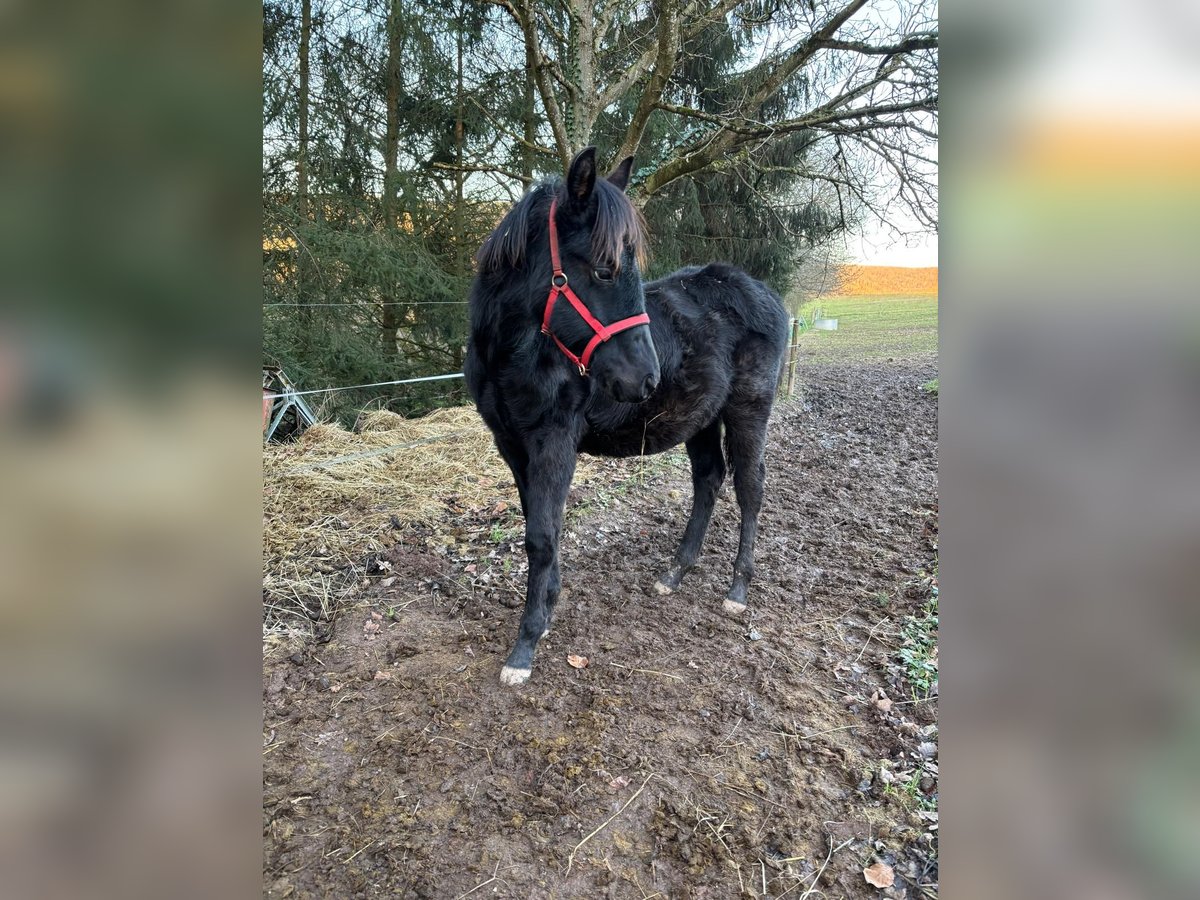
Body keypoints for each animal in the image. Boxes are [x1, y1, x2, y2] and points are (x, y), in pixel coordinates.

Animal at [463, 148, 792, 686]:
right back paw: (675, 574)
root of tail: (766, 295)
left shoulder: (554, 441)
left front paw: (525, 646)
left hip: (748, 410)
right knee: (709, 480)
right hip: (701, 418)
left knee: (750, 487)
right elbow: (540, 523)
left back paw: (737, 591)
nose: (646, 378)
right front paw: (547, 610)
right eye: (603, 270)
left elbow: (542, 538)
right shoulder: (512, 445)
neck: (516, 352)